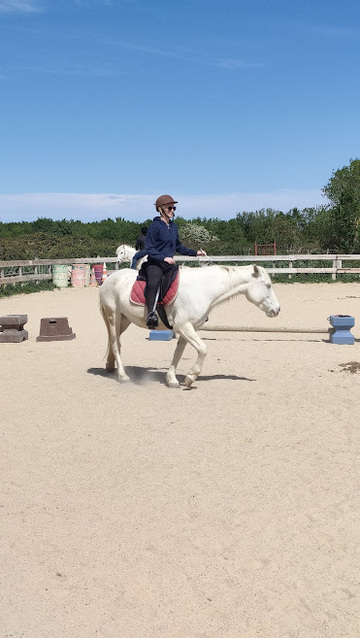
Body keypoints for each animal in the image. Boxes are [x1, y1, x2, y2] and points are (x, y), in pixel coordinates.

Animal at [99, 264, 282, 390]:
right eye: (268, 285)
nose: (277, 310)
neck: (203, 289)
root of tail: (108, 280)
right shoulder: (183, 326)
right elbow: (203, 349)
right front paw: (190, 377)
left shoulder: (187, 329)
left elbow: (178, 354)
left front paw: (172, 379)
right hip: (114, 316)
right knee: (115, 343)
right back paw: (123, 376)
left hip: (124, 320)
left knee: (116, 343)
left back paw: (111, 367)